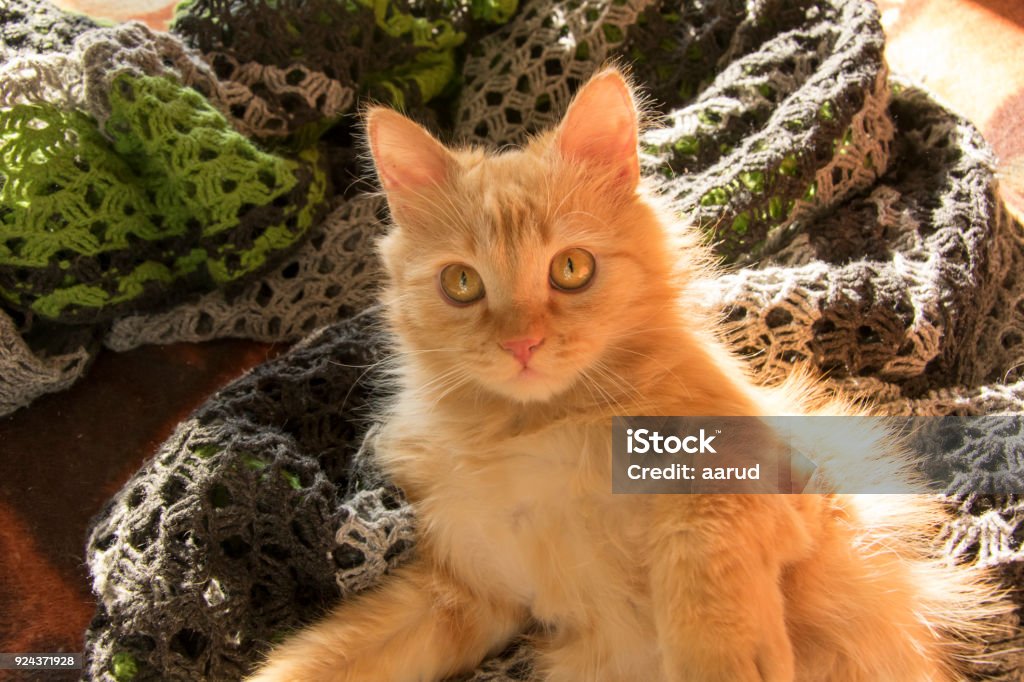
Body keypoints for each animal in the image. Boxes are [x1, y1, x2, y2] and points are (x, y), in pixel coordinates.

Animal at [249, 66, 1007, 675]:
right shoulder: (469, 590)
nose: (522, 344)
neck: (538, 430)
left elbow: (701, 533)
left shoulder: (786, 484)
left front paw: (722, 660)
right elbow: (328, 656)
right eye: (461, 284)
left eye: (571, 268)